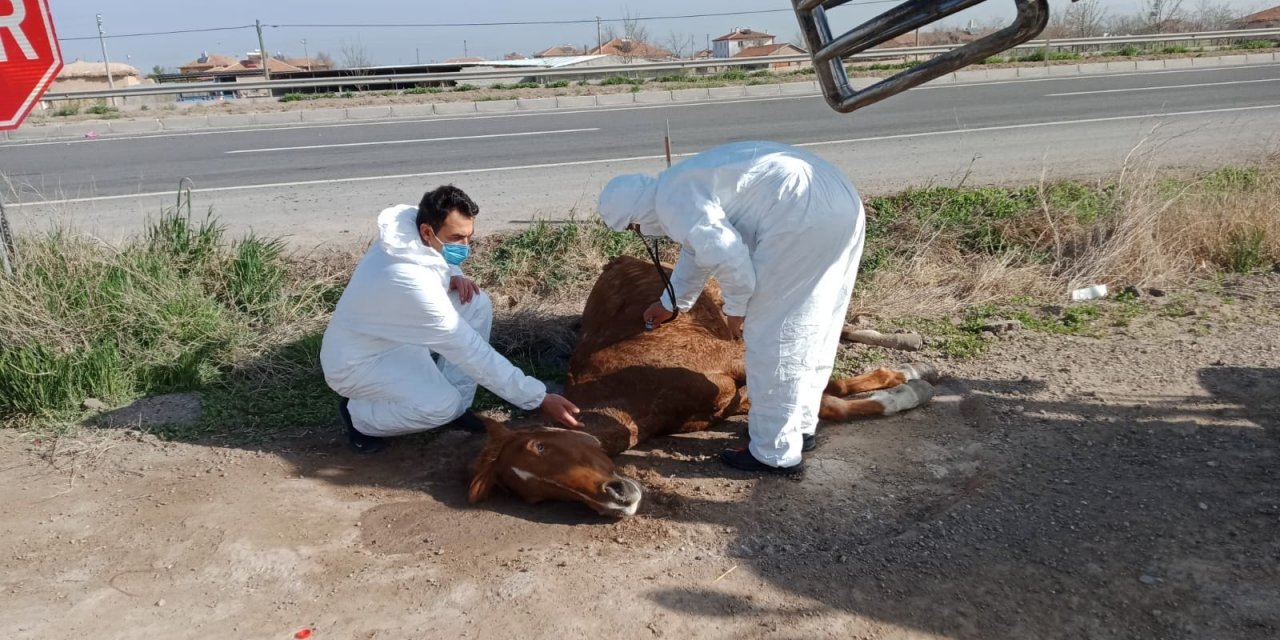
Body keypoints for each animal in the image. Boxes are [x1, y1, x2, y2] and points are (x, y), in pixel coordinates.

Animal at [465, 254, 936, 514]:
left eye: (541, 447)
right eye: (535, 495)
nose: (616, 499)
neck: (629, 391)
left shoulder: (730, 357)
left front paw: (907, 384)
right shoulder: (728, 400)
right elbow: (826, 399)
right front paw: (899, 386)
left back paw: (907, 344)